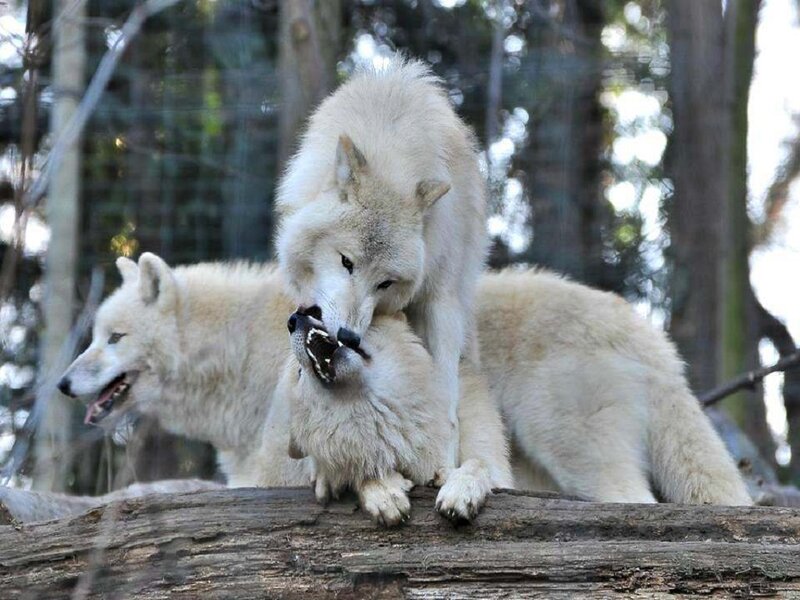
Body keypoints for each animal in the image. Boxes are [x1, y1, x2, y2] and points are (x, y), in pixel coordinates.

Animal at [58, 255, 750, 510]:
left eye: (114, 338)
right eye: (92, 334)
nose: (63, 384)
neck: (237, 349)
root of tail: (649, 335)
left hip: (572, 449)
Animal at [276, 58, 487, 467]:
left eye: (385, 283)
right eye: (346, 262)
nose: (348, 336)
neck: (390, 152)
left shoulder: (440, 299)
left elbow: (444, 397)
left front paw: (442, 462)